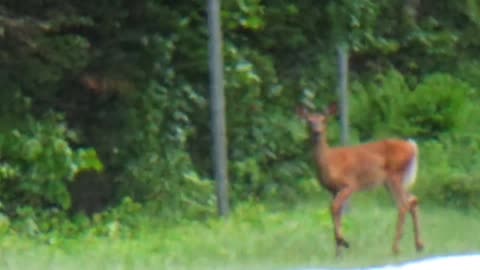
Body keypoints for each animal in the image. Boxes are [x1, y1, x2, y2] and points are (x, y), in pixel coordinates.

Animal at [296, 104, 424, 256]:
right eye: (309, 121)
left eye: (324, 120)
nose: (317, 131)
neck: (329, 161)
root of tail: (412, 147)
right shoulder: (333, 190)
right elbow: (337, 212)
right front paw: (338, 252)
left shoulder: (350, 184)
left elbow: (334, 207)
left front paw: (343, 242)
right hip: (395, 180)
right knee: (413, 200)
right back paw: (419, 245)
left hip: (395, 176)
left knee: (403, 205)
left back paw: (396, 249)